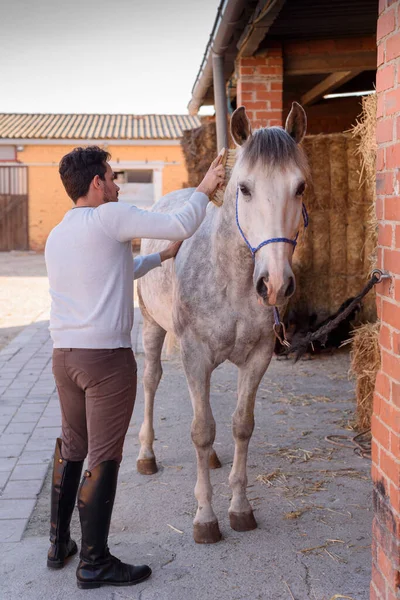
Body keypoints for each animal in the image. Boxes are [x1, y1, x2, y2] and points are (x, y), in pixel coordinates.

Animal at [138, 103, 310, 544]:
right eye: (244, 188)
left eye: (300, 187)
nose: (275, 284)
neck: (230, 279)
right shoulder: (195, 357)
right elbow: (201, 429)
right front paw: (205, 518)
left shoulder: (258, 359)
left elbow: (240, 426)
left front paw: (240, 509)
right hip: (152, 328)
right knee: (150, 381)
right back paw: (146, 456)